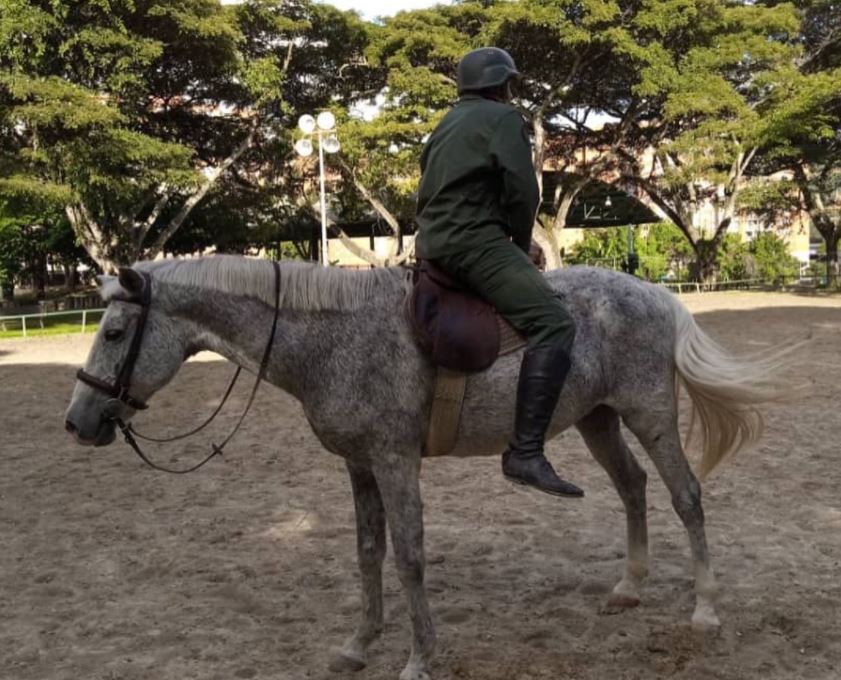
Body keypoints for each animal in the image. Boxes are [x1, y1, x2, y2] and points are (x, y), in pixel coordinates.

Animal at [64, 255, 788, 680]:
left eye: (115, 333)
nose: (77, 423)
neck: (337, 336)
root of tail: (655, 293)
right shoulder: (358, 466)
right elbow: (367, 552)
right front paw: (359, 644)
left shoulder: (393, 459)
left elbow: (410, 555)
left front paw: (418, 657)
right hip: (597, 417)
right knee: (633, 488)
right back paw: (629, 587)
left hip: (647, 412)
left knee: (685, 495)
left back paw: (704, 610)